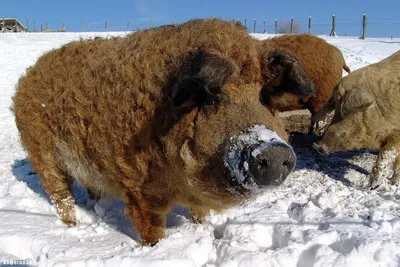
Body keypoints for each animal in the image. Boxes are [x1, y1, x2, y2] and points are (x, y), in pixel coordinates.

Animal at [10, 18, 314, 245]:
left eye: (264, 96)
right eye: (212, 97)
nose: (273, 150)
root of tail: (28, 76)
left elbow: (200, 213)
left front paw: (200, 226)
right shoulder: (140, 188)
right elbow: (151, 228)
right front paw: (155, 248)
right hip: (42, 153)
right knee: (61, 195)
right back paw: (73, 227)